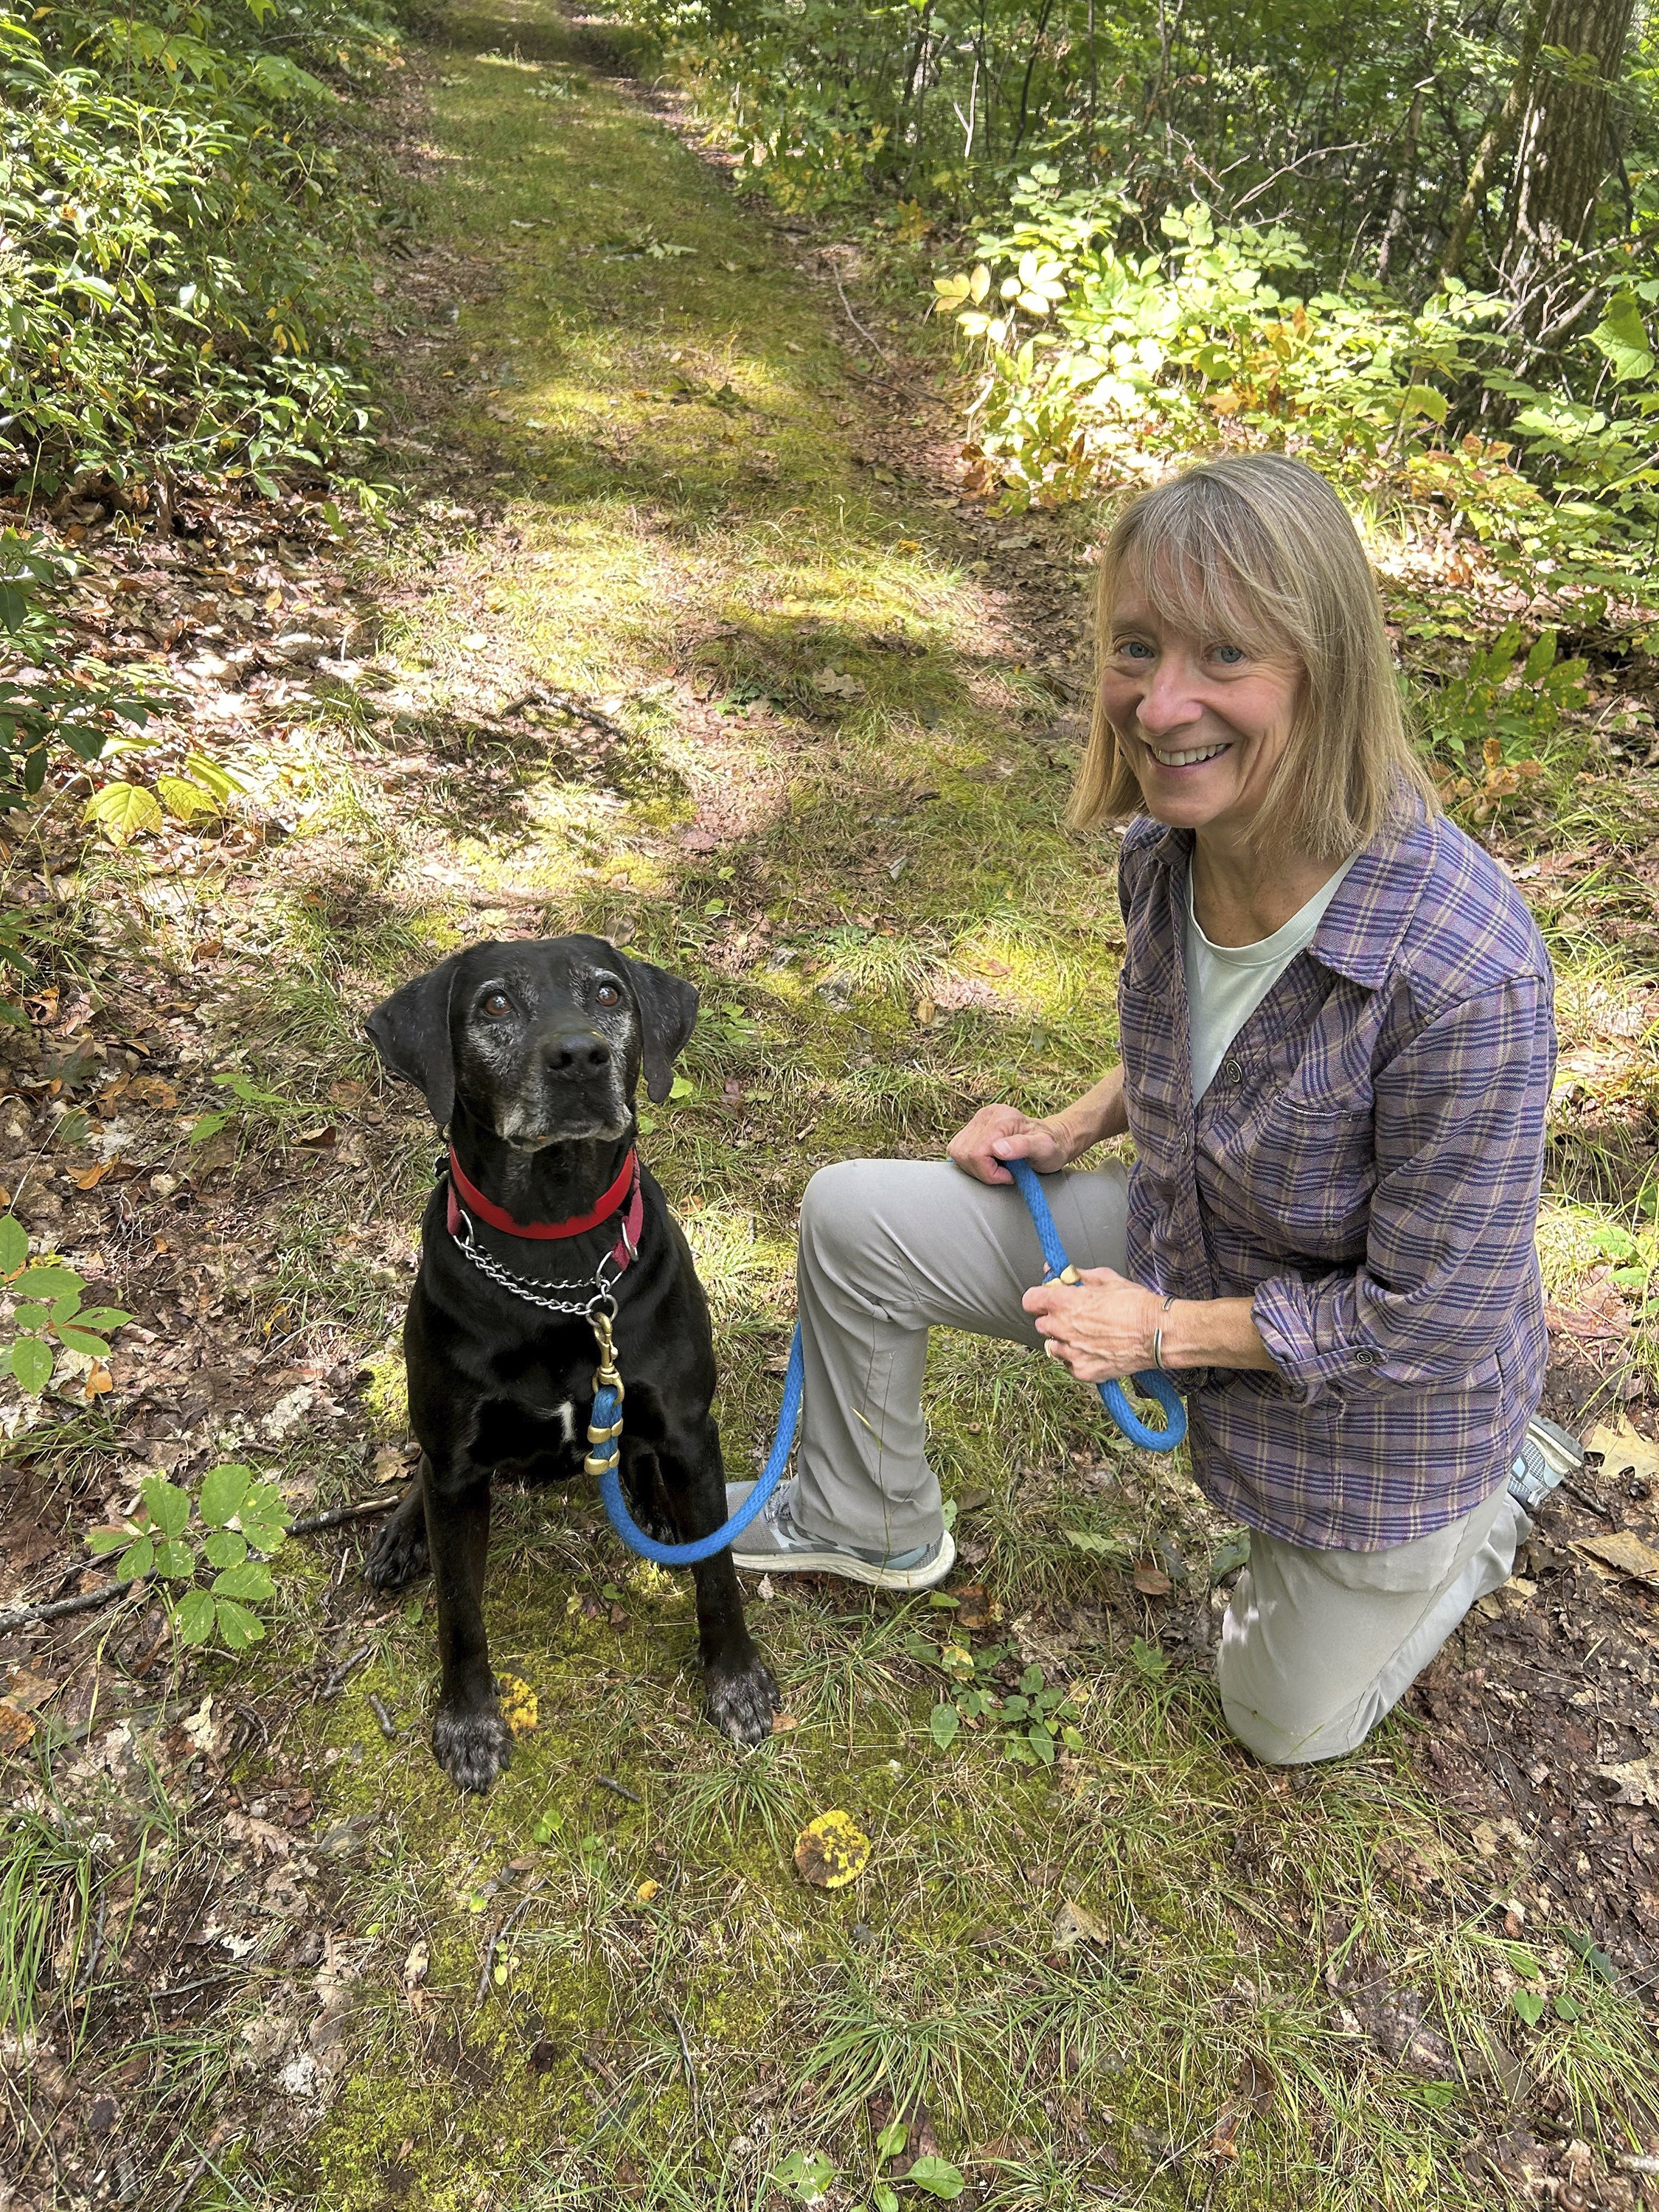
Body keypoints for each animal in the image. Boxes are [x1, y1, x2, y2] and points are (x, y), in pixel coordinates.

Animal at [363, 925, 779, 1787]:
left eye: (609, 993)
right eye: (494, 1004)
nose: (580, 1056)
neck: (555, 1250)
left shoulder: (689, 1424)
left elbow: (719, 1570)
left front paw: (735, 1679)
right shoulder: (457, 1461)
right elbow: (459, 1608)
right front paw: (468, 1720)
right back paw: (401, 1536)